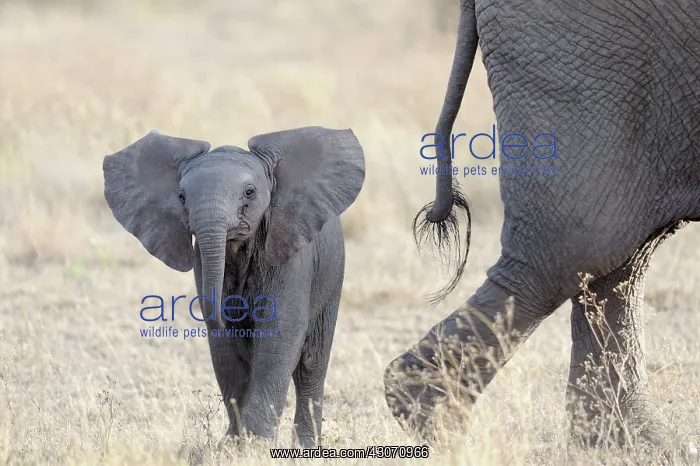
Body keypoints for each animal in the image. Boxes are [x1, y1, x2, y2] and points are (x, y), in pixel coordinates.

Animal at [103, 126, 365, 447]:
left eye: (249, 193)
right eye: (181, 197)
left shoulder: (289, 253)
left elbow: (280, 333)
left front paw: (255, 442)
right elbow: (225, 351)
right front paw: (232, 445)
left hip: (332, 273)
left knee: (310, 364)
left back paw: (306, 447)